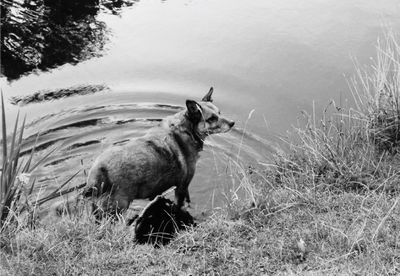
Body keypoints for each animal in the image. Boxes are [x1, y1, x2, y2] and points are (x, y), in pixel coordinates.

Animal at [83, 87, 236, 217]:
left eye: (220, 113)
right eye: (212, 118)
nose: (232, 123)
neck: (186, 130)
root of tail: (99, 169)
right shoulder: (182, 186)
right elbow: (181, 205)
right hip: (116, 208)